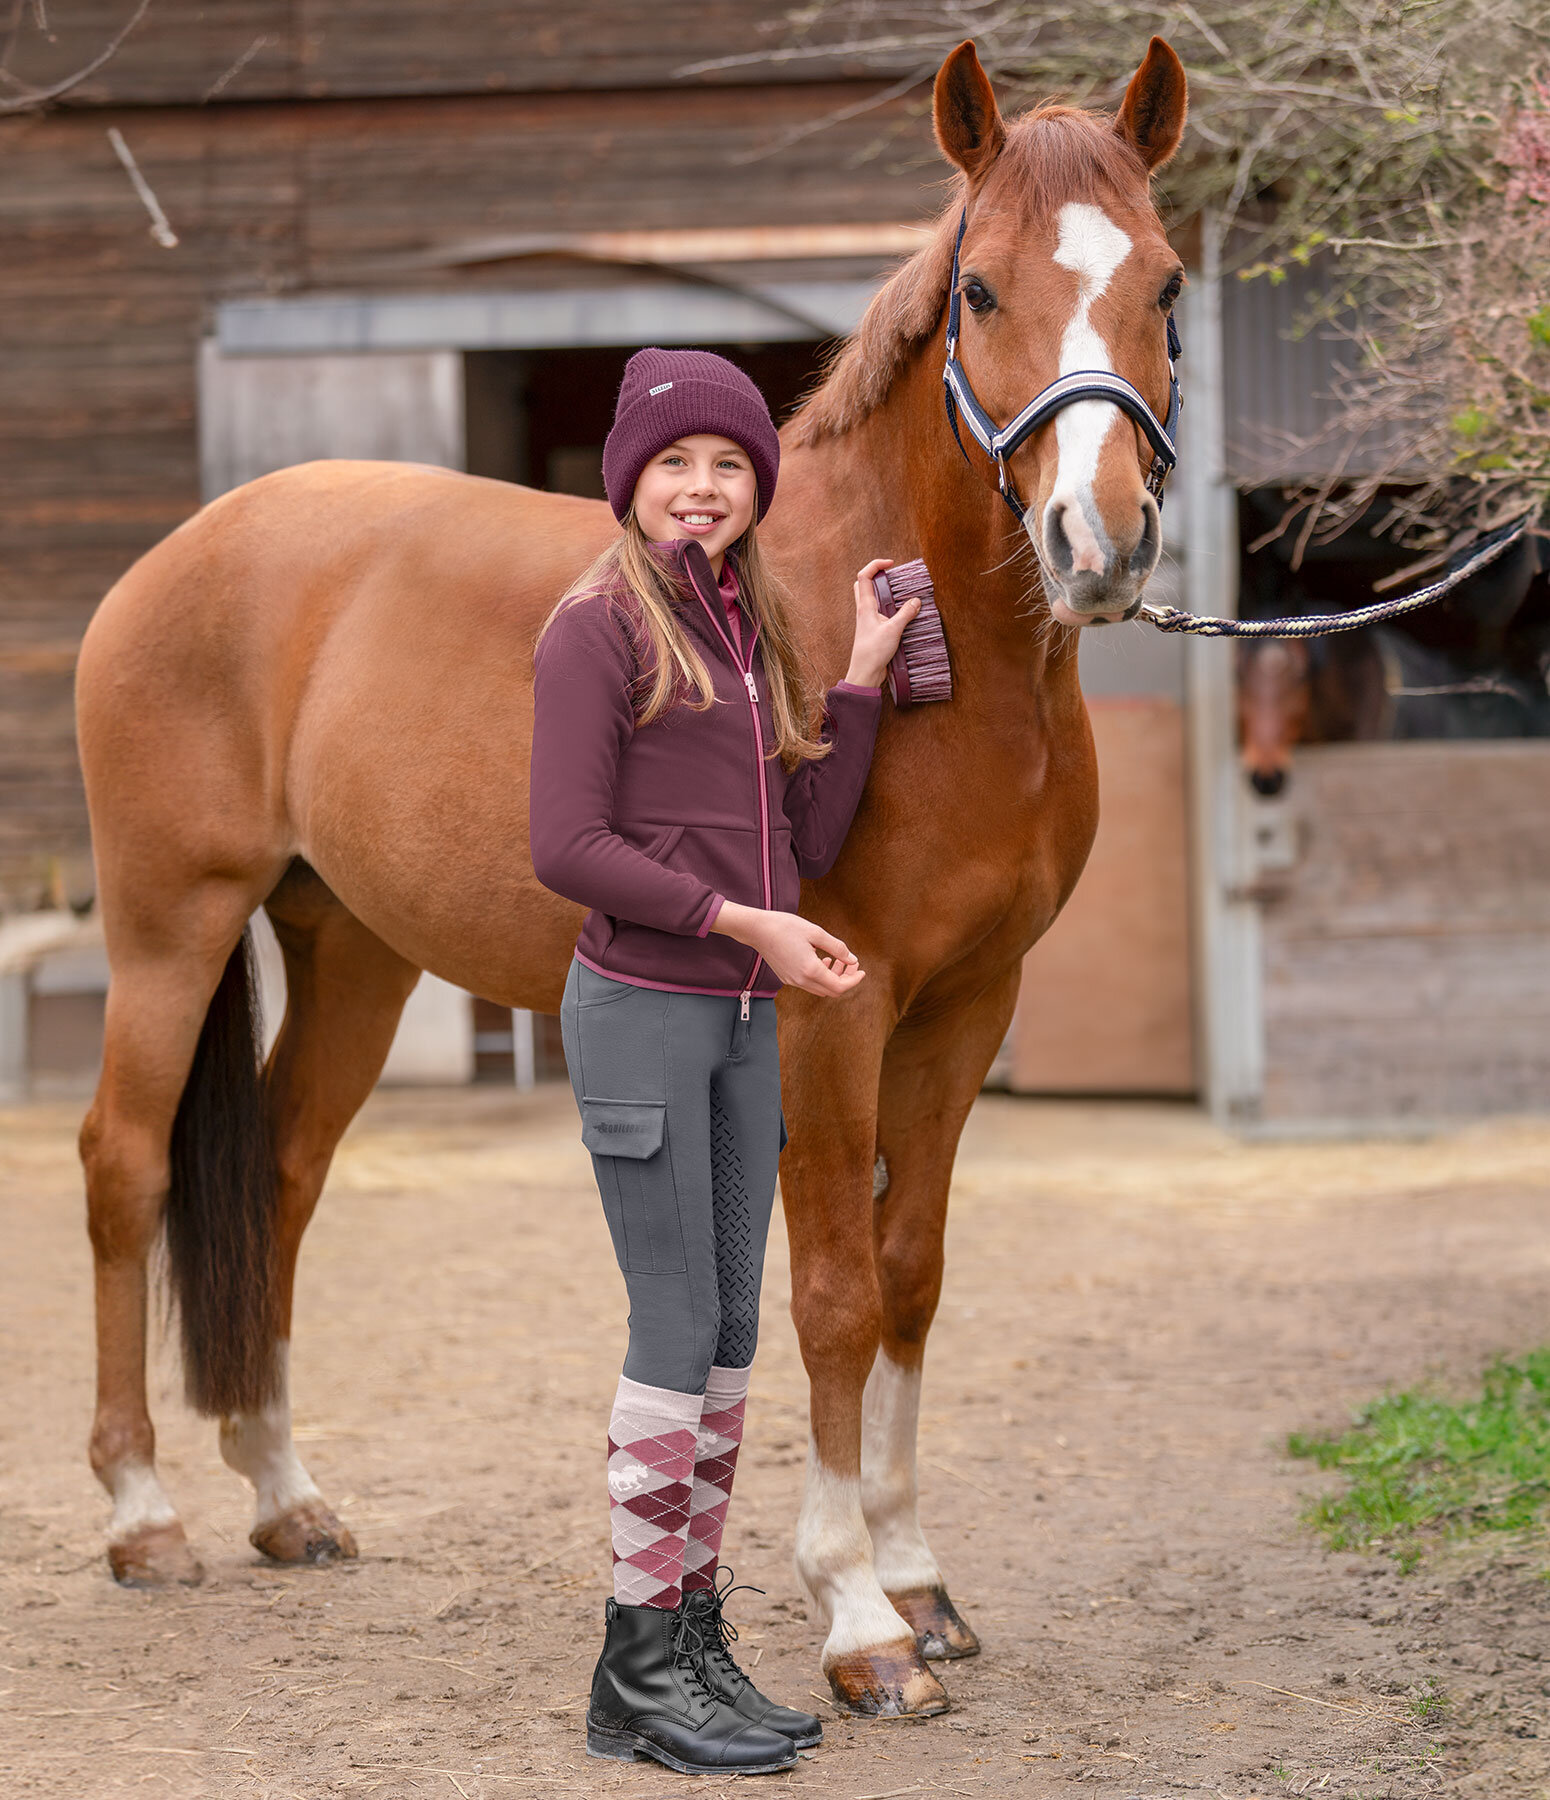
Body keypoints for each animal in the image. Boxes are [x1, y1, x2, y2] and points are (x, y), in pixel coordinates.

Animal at [72, 35, 1188, 1706]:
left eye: (1167, 286)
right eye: (982, 288)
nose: (1097, 540)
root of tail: (180, 555)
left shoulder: (965, 1009)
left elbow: (912, 1273)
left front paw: (919, 1580)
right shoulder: (832, 1010)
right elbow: (835, 1288)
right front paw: (858, 1620)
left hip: (350, 950)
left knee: (277, 1172)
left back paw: (286, 1498)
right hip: (170, 927)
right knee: (124, 1167)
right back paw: (144, 1516)